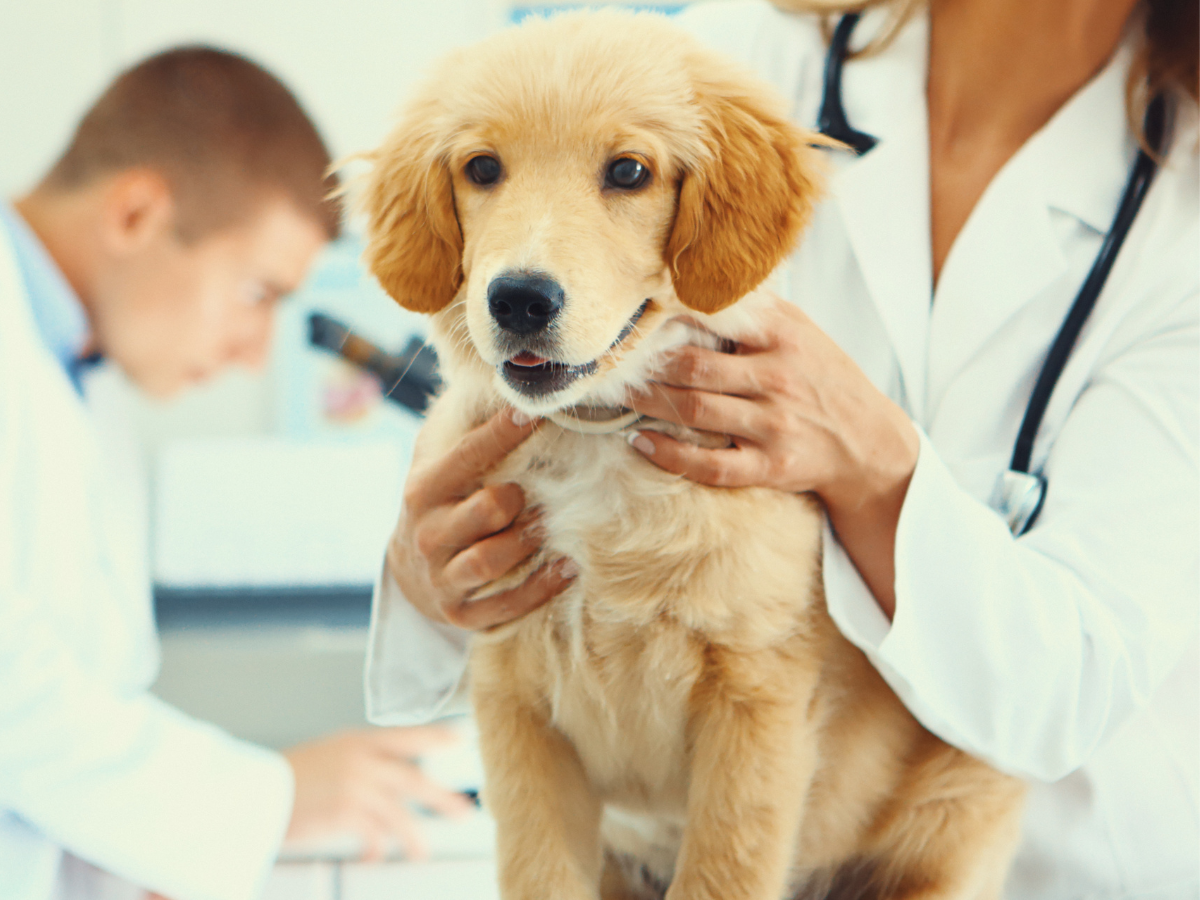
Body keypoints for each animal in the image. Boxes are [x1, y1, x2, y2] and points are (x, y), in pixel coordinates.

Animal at [355, 10, 1022, 897]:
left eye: (629, 172)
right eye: (482, 168)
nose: (519, 299)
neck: (597, 437)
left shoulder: (757, 702)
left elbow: (723, 870)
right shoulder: (515, 707)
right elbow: (539, 871)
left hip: (960, 806)